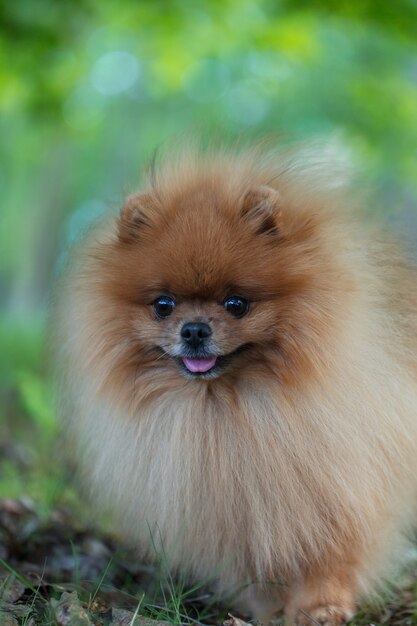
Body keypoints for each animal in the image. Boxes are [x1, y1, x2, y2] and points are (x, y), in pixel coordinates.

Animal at [54, 141, 417, 624]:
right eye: (164, 305)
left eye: (236, 304)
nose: (194, 330)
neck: (226, 413)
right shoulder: (241, 514)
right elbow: (260, 570)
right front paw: (269, 612)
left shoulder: (339, 485)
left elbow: (330, 556)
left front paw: (321, 607)